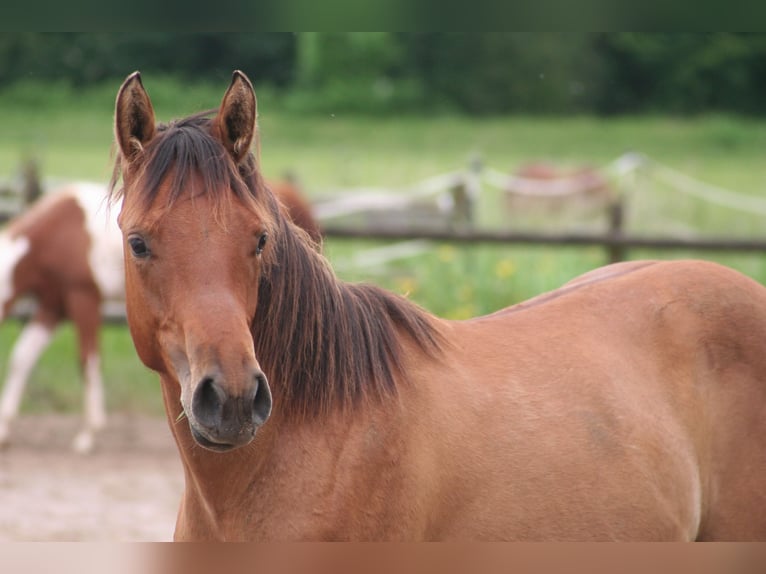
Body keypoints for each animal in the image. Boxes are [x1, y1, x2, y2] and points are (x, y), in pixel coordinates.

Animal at [0, 182, 122, 452]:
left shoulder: (84, 299)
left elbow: (87, 361)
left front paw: (88, 434)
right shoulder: (53, 306)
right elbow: (21, 358)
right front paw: (4, 429)